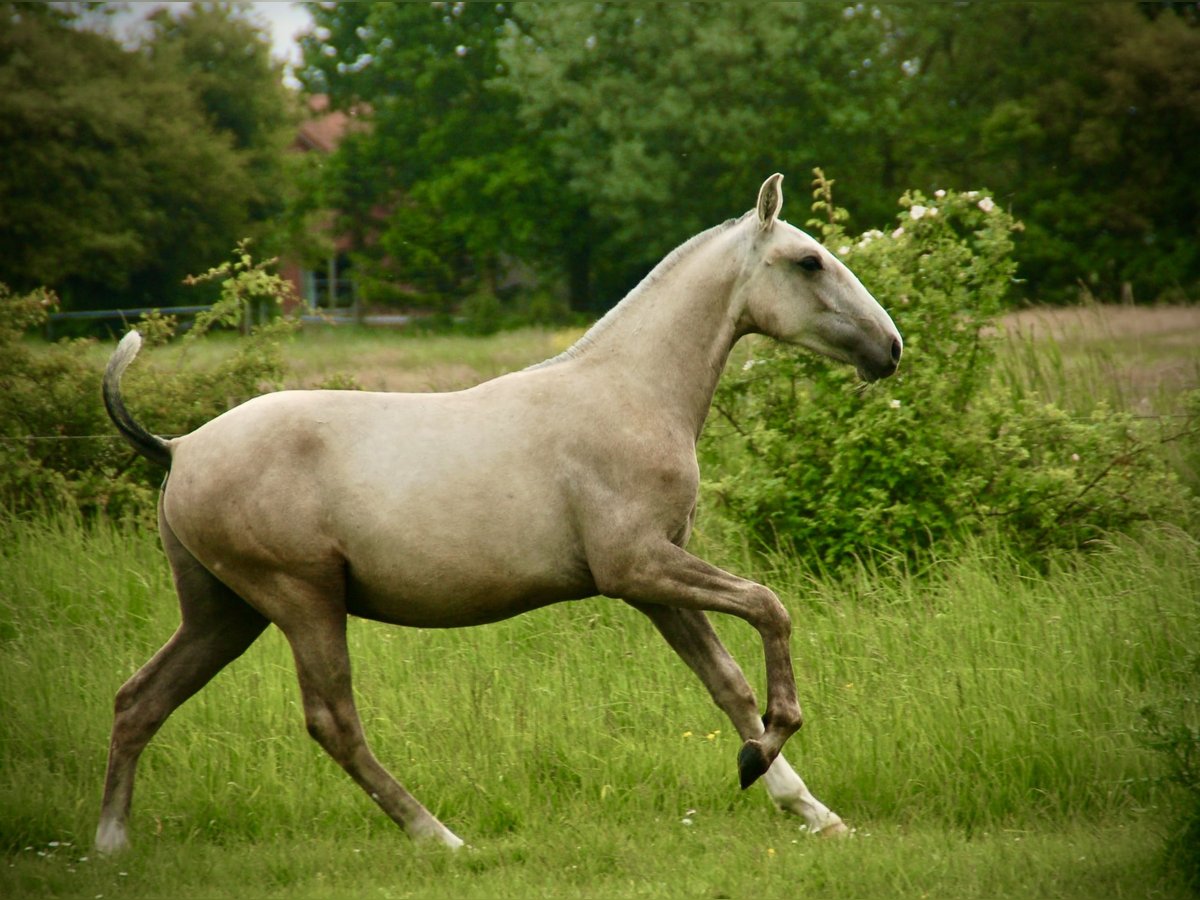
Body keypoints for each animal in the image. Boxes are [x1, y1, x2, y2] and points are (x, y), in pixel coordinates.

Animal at [96, 174, 902, 854]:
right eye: (808, 262)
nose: (889, 349)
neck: (630, 393)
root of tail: (179, 449)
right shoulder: (638, 567)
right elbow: (769, 609)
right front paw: (764, 752)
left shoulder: (656, 587)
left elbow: (728, 683)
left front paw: (806, 806)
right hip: (301, 602)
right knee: (333, 723)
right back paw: (440, 837)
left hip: (223, 614)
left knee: (139, 700)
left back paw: (111, 845)